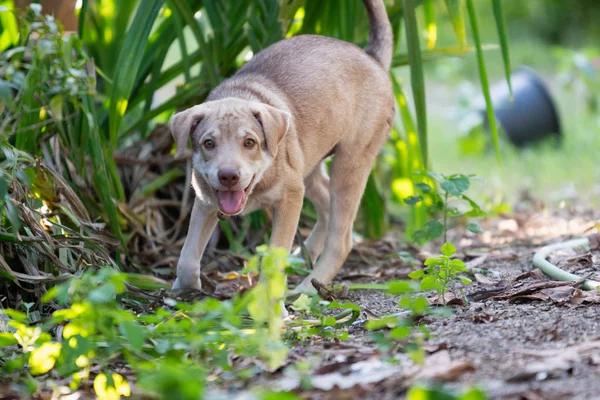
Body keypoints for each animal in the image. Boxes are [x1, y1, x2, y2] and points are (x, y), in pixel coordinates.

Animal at [169, 0, 396, 294]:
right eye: (208, 143)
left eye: (250, 142)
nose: (228, 176)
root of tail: (373, 60)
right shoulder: (206, 200)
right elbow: (187, 257)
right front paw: (183, 290)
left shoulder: (290, 196)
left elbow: (275, 255)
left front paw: (269, 298)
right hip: (308, 164)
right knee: (326, 206)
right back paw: (303, 258)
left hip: (349, 164)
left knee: (341, 239)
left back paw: (308, 288)